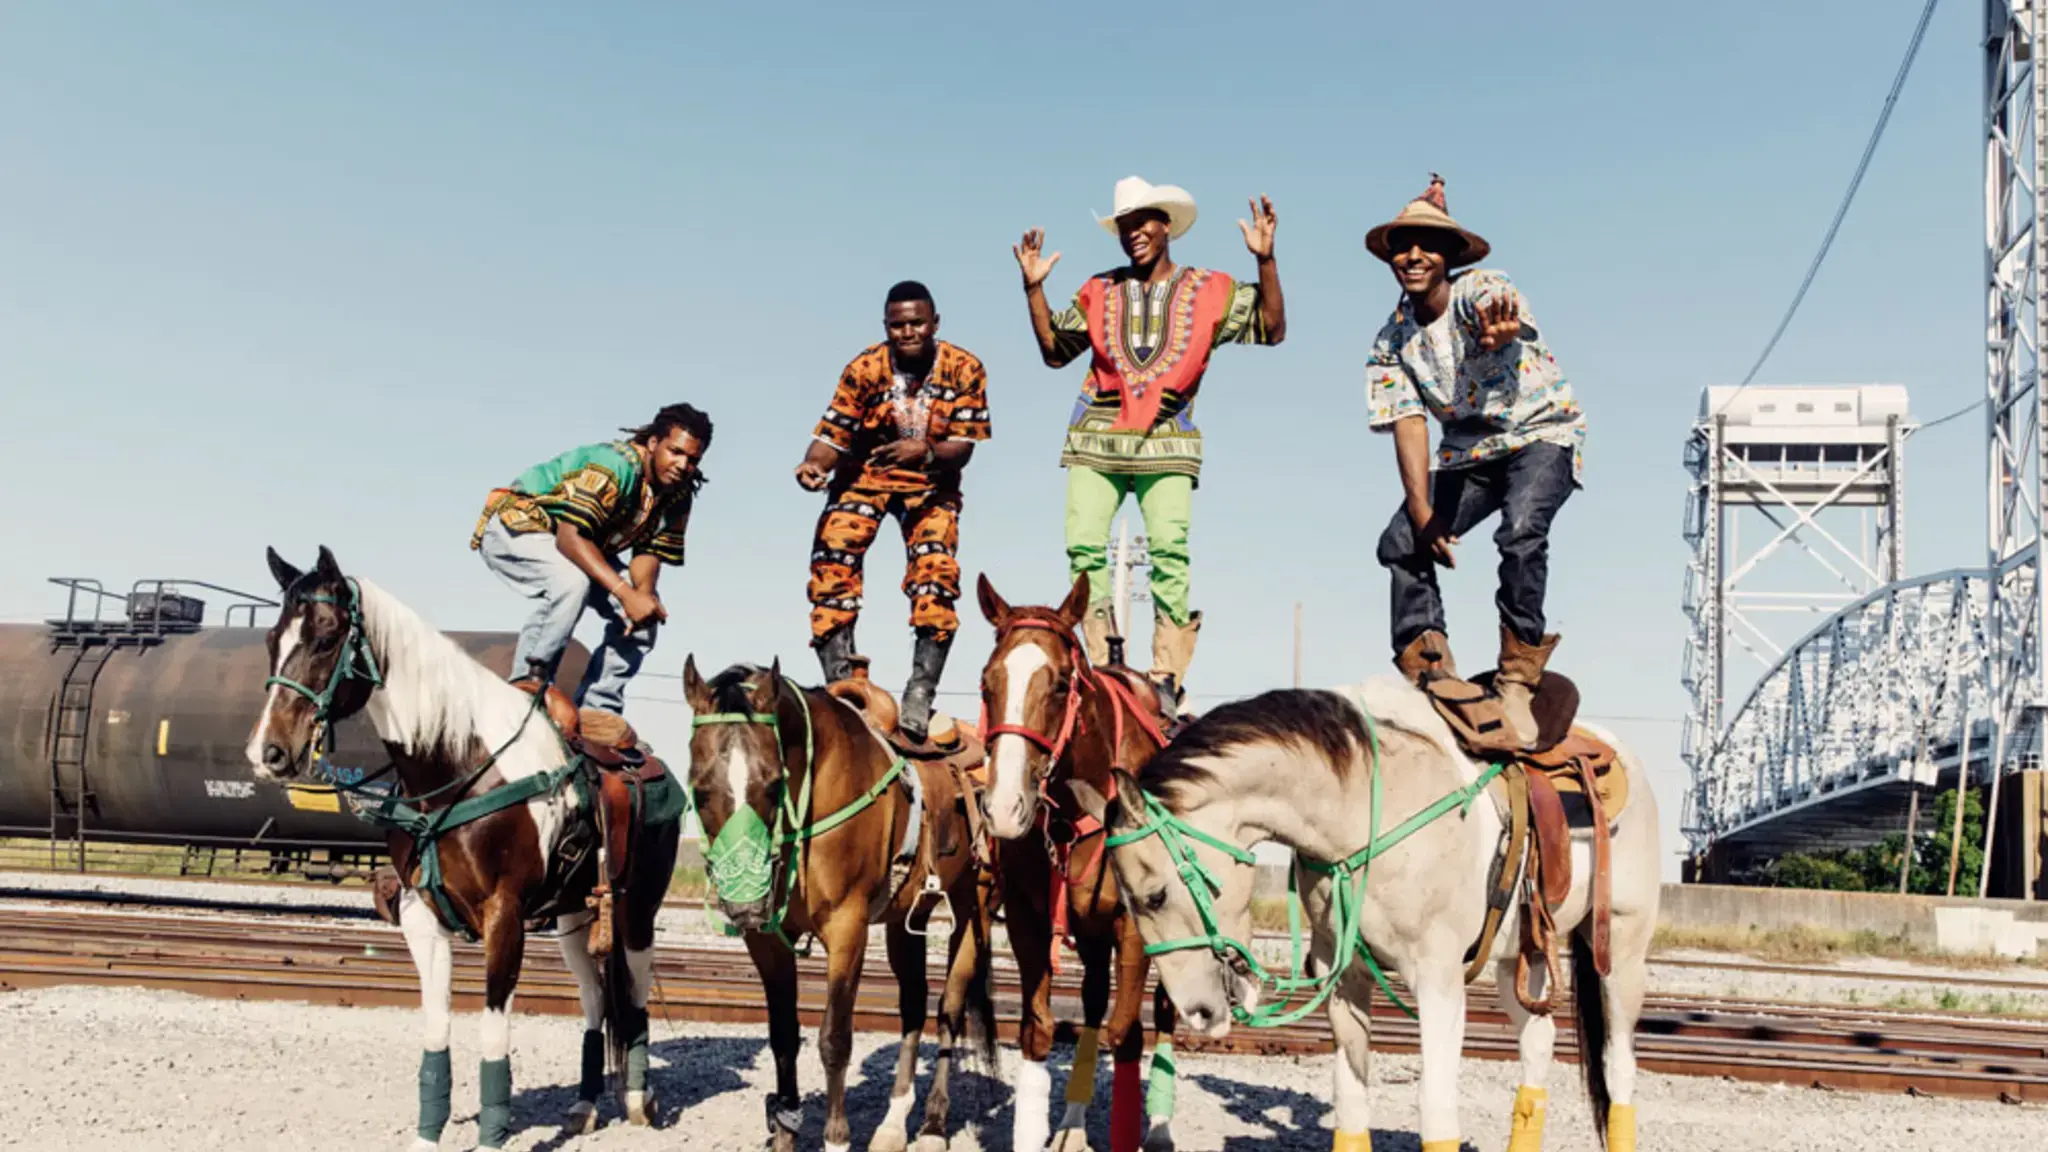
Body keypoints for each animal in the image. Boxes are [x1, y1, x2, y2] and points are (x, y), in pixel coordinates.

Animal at [244, 545, 679, 1147]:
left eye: (328, 637)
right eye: (272, 639)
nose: (269, 752)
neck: (458, 766)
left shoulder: (505, 916)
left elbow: (494, 1037)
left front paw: (492, 1137)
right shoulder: (420, 915)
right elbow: (436, 1035)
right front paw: (427, 1135)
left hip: (637, 910)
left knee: (633, 995)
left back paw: (638, 1099)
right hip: (573, 915)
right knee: (595, 1000)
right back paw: (585, 1105)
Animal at [684, 655, 995, 1147]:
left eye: (772, 784)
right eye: (699, 789)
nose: (745, 906)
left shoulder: (847, 928)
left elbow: (834, 1038)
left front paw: (836, 1137)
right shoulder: (767, 939)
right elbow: (784, 1034)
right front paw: (784, 1132)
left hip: (972, 905)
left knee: (949, 1008)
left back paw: (933, 1123)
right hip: (906, 918)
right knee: (913, 1003)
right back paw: (893, 1124)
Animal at [978, 569, 1187, 1147]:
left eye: (1058, 683)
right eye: (987, 682)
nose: (1004, 807)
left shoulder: (1136, 926)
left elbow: (1128, 1033)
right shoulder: (1028, 920)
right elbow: (1039, 1029)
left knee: (1163, 1012)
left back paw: (1160, 1127)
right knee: (1093, 999)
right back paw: (1072, 1122)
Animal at [1073, 672, 1662, 1147]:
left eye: (1154, 896)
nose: (1196, 1013)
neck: (1366, 812)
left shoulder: (1439, 981)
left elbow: (1436, 1113)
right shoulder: (1347, 977)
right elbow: (1351, 1103)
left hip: (1622, 953)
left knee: (1619, 1072)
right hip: (1521, 958)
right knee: (1537, 1048)